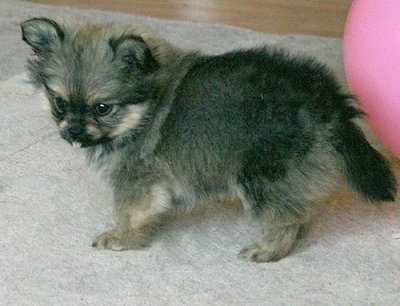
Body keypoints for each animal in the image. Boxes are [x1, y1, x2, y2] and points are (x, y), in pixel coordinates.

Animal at [19, 17, 396, 262]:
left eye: (102, 108)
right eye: (59, 102)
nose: (73, 131)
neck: (141, 112)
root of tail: (328, 99)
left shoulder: (135, 179)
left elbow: (127, 212)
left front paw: (120, 238)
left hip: (259, 178)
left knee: (286, 218)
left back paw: (267, 250)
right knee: (298, 209)